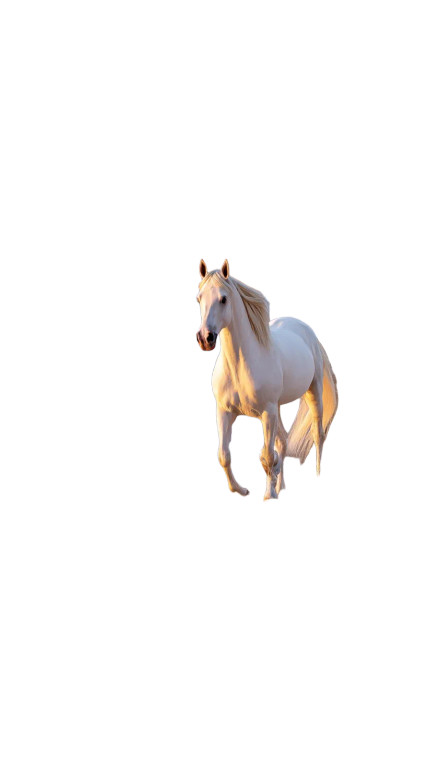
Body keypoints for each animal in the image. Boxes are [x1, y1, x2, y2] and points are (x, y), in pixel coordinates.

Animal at [196, 259, 338, 500]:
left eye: (223, 298)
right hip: (278, 408)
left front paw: (268, 495)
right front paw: (242, 490)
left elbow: (268, 456)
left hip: (313, 391)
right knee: (283, 441)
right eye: (198, 298)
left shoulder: (266, 412)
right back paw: (280, 486)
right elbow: (224, 455)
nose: (205, 338)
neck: (240, 368)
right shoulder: (225, 412)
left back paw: (316, 476)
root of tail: (307, 331)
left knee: (317, 435)